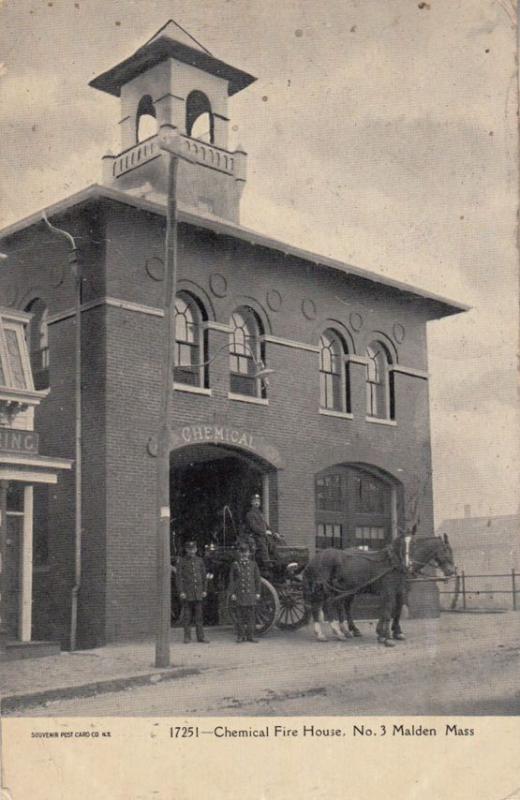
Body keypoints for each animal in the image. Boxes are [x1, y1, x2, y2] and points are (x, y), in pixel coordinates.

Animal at [302, 536, 458, 644]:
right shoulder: (389, 591)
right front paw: (386, 636)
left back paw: (346, 631)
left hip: (344, 590)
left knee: (340, 606)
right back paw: (330, 633)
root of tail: (316, 558)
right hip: (324, 589)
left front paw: (392, 633)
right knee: (323, 606)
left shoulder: (399, 592)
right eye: (446, 550)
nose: (451, 571)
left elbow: (395, 611)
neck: (396, 562)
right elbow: (388, 611)